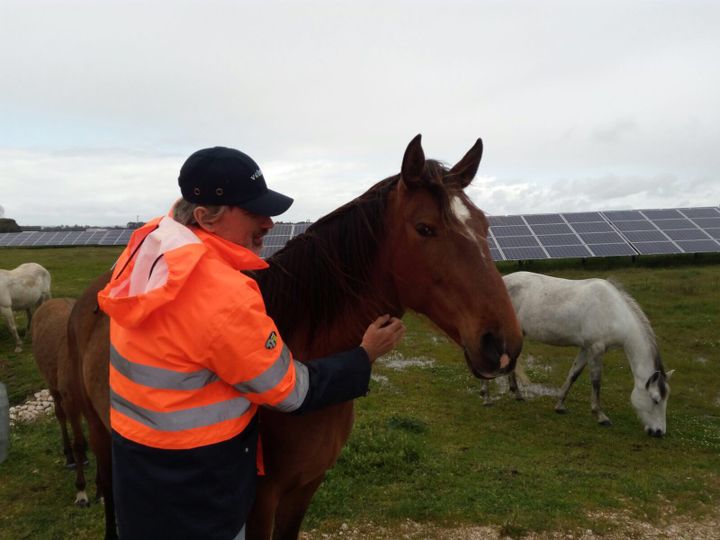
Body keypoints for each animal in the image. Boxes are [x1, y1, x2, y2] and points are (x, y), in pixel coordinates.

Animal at [29, 296, 89, 502]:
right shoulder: (69, 398)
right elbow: (78, 443)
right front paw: (81, 491)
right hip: (53, 386)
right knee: (61, 416)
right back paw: (70, 456)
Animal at [67, 135, 524, 540]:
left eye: (484, 225)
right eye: (425, 228)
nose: (503, 345)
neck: (305, 351)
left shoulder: (305, 487)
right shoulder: (259, 503)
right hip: (100, 434)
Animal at [480, 272, 672, 436]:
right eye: (655, 399)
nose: (659, 432)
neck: (611, 311)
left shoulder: (585, 349)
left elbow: (573, 374)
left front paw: (560, 405)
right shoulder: (596, 349)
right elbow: (596, 381)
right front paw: (601, 416)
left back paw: (517, 394)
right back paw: (486, 398)